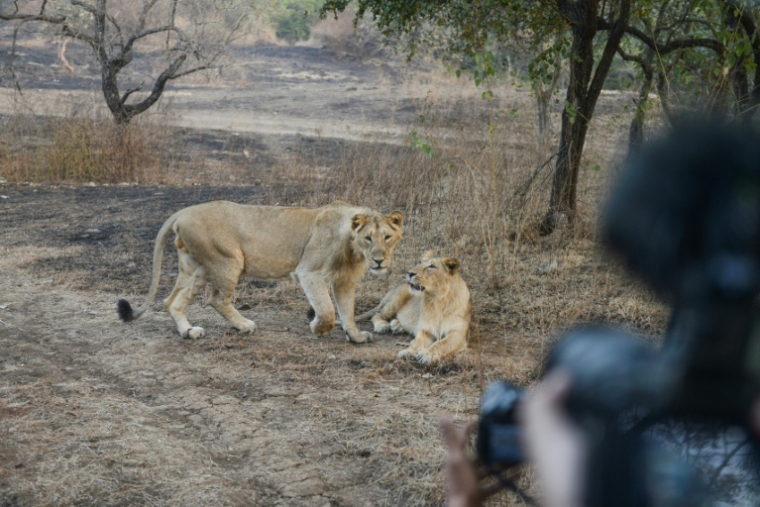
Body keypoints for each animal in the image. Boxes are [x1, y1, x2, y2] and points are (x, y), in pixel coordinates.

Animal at [117, 200, 403, 343]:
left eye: (387, 237)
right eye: (368, 238)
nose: (379, 261)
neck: (353, 248)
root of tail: (184, 210)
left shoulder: (345, 280)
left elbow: (347, 311)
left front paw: (355, 336)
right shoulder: (308, 272)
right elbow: (327, 310)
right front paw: (318, 328)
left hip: (195, 266)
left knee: (172, 301)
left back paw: (189, 332)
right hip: (229, 259)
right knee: (216, 299)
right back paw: (245, 326)